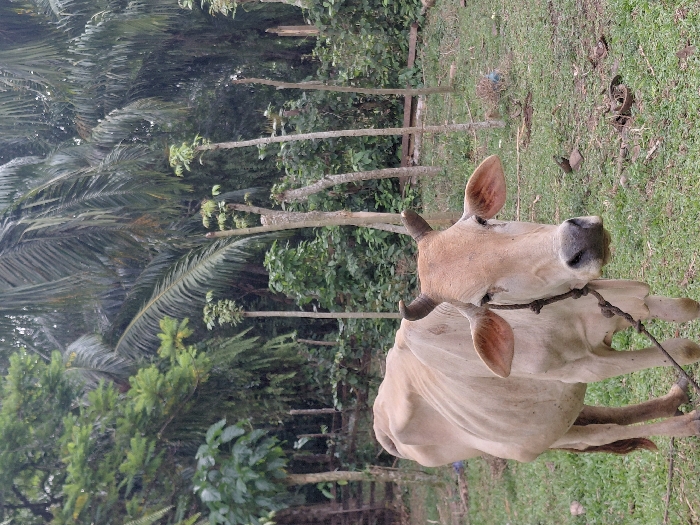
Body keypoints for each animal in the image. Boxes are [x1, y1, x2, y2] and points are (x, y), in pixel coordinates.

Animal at [373, 155, 700, 466]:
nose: (579, 242)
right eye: (486, 296)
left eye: (483, 221)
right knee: (603, 432)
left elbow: (687, 308)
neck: (565, 314)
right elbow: (684, 349)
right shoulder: (590, 365)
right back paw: (687, 423)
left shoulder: (625, 300)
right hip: (537, 440)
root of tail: (385, 433)